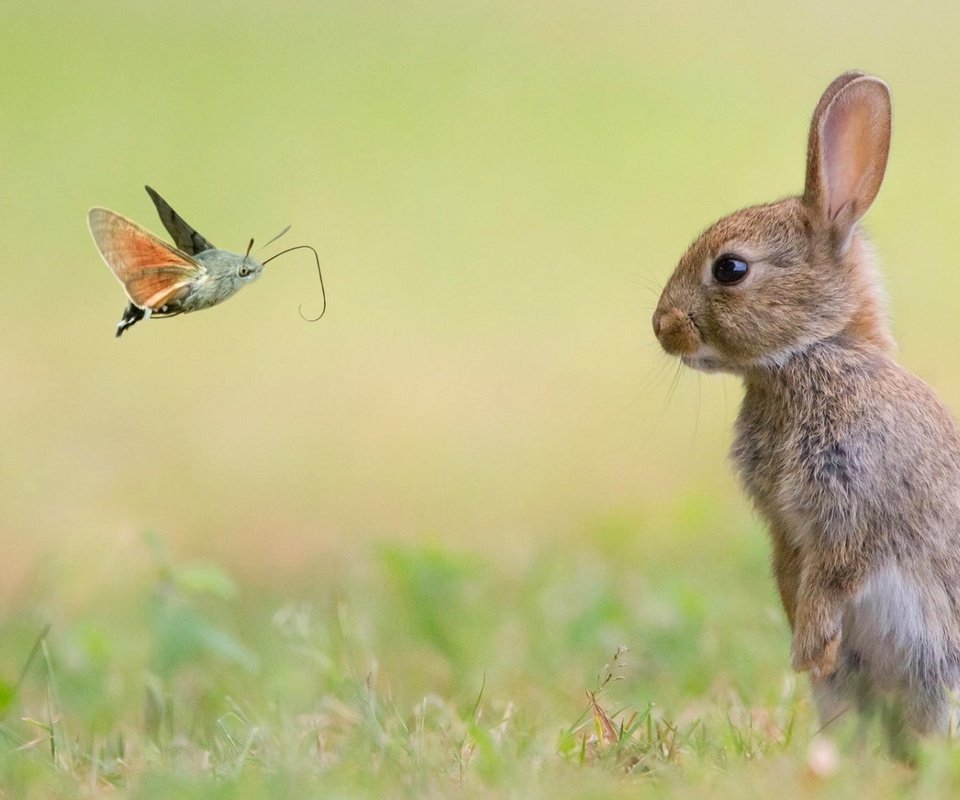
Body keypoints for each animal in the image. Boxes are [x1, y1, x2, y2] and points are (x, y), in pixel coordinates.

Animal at [656, 70, 960, 744]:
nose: (662, 328)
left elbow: (837, 571)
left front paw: (807, 646)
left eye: (731, 268)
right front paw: (802, 644)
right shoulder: (783, 524)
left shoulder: (856, 503)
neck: (814, 353)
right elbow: (790, 568)